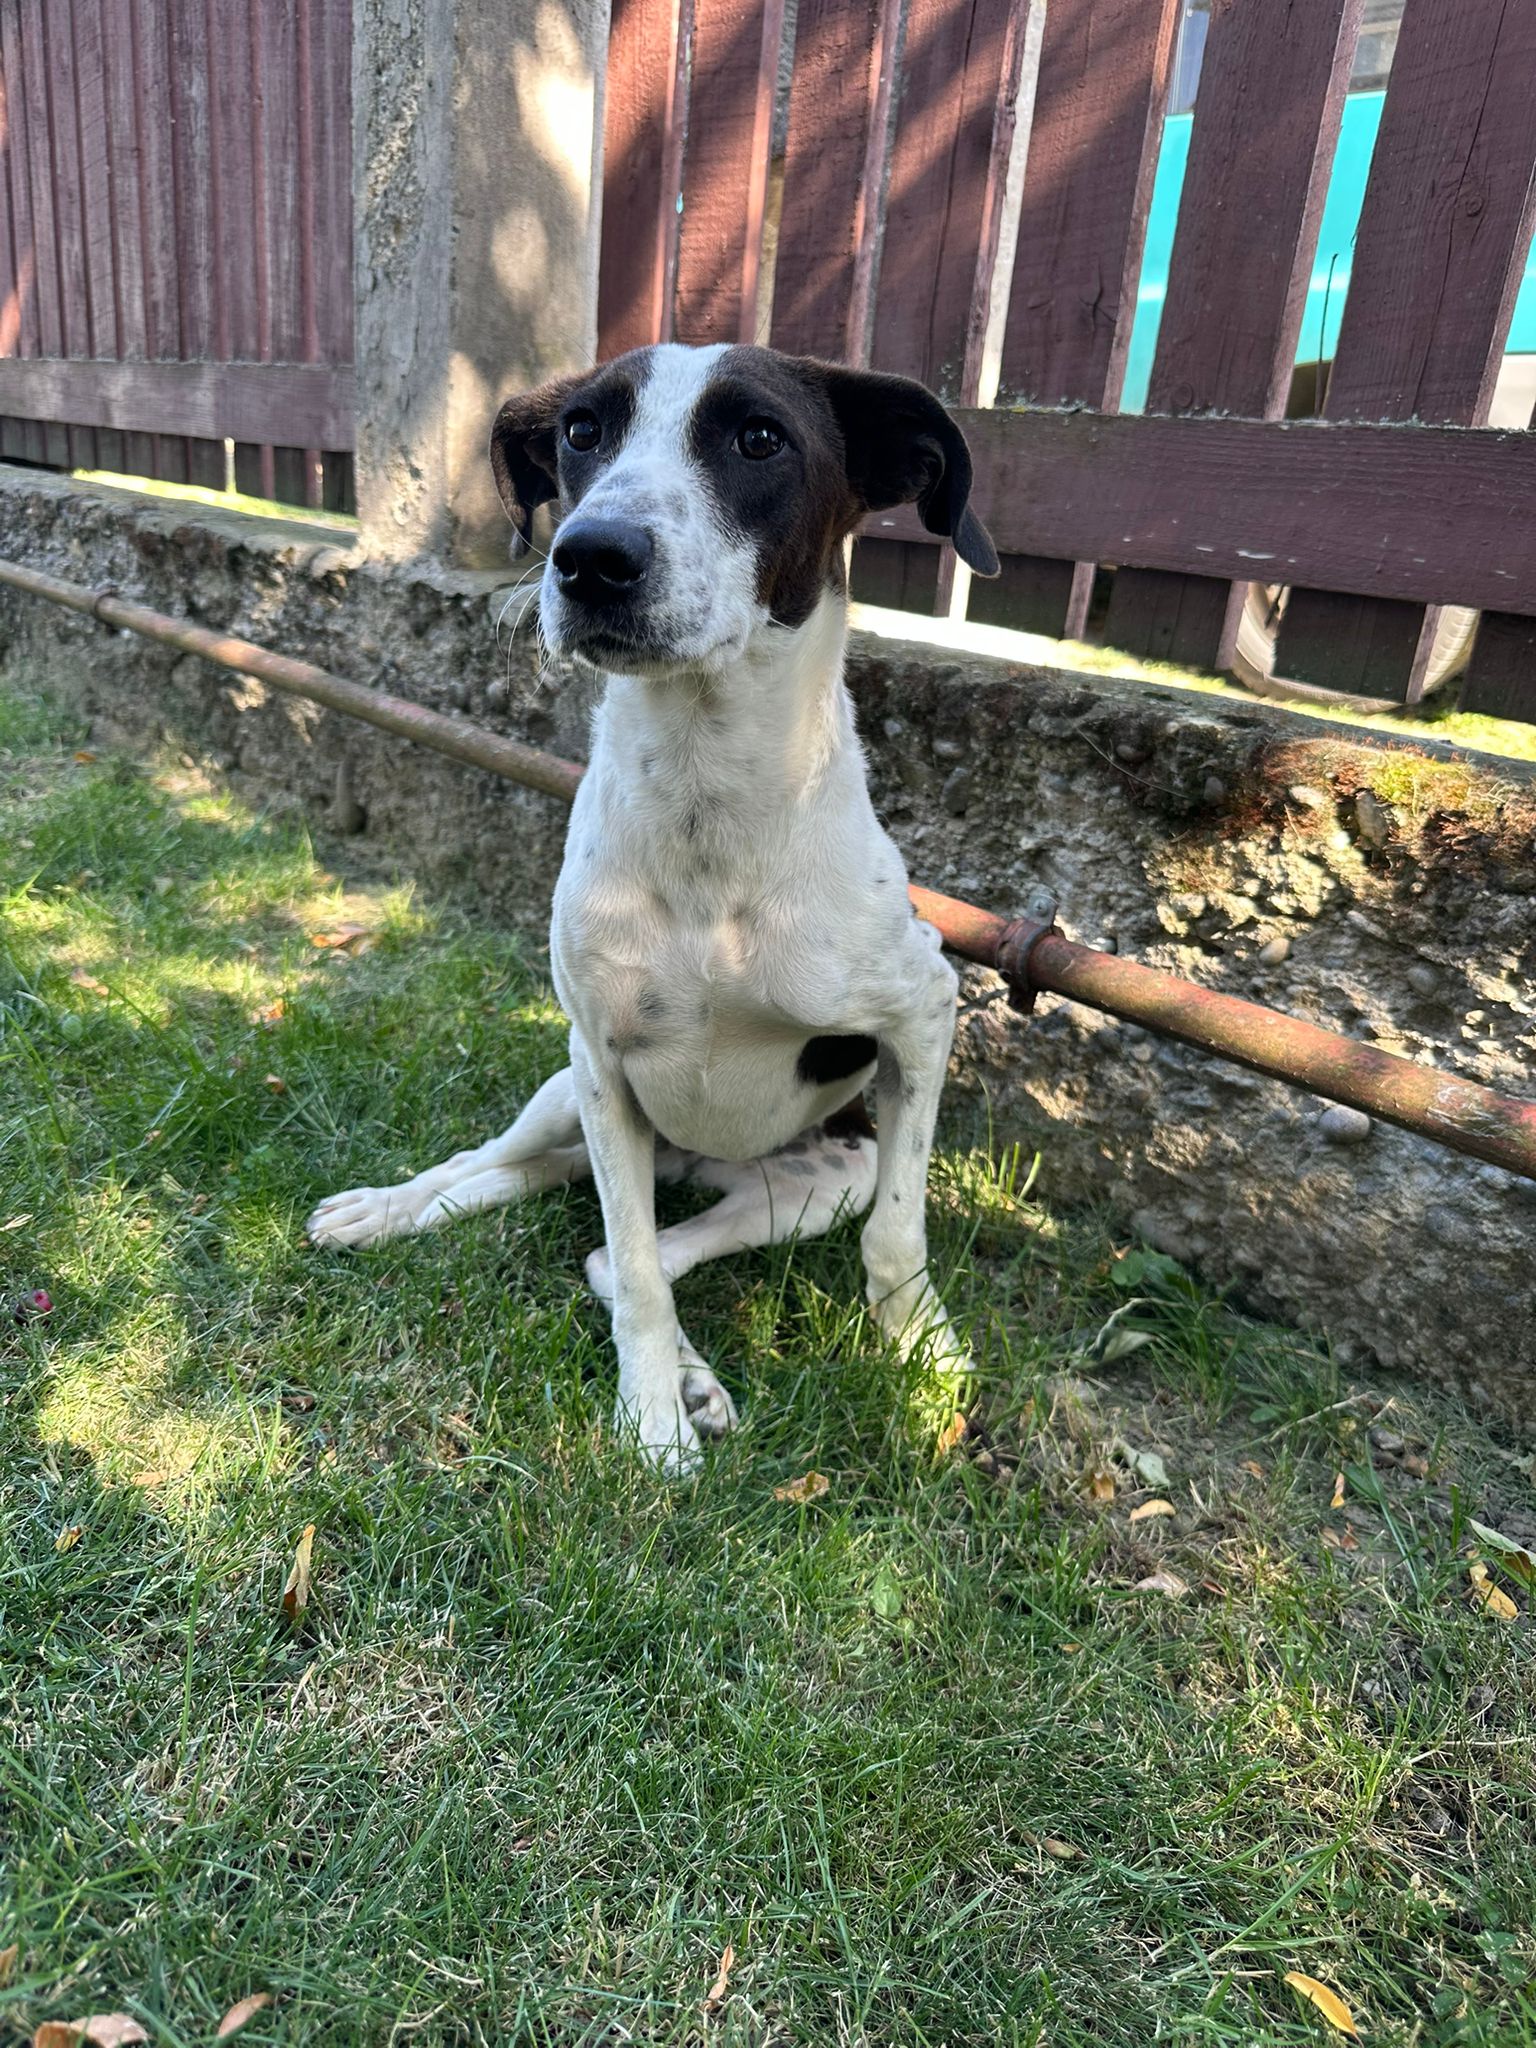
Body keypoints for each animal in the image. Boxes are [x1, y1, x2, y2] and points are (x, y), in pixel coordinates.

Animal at [308, 344, 998, 1470]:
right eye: (582, 431)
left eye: (760, 437)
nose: (588, 557)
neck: (704, 798)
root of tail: (693, 1160)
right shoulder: (600, 1057)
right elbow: (627, 1265)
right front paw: (651, 1415)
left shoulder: (924, 1010)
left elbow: (897, 1231)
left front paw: (922, 1355)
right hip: (570, 1095)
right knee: (521, 1184)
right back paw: (390, 1211)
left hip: (812, 1179)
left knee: (616, 1236)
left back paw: (700, 1371)